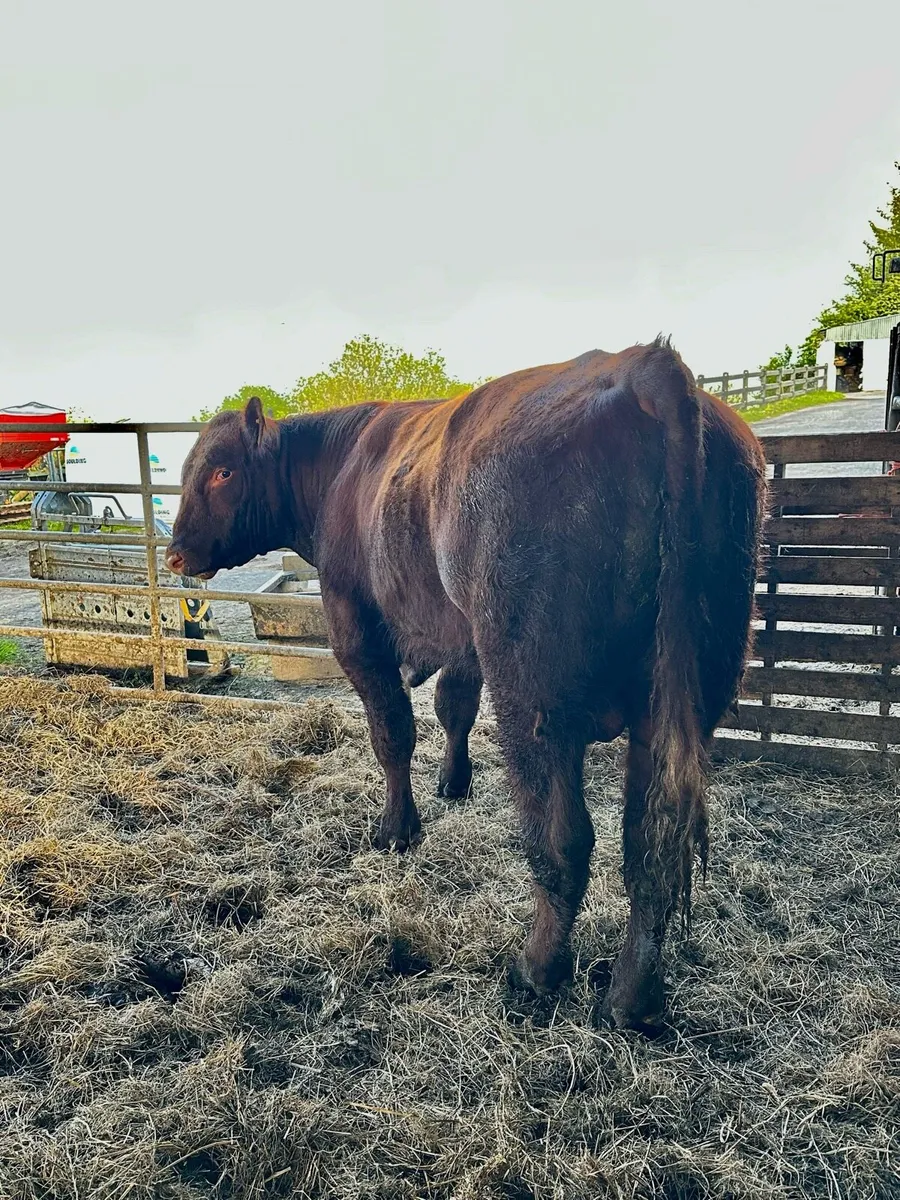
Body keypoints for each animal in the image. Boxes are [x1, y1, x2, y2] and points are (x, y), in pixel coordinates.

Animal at [166, 338, 766, 1031]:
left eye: (222, 472)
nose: (176, 553)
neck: (342, 469)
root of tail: (643, 364)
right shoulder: (462, 640)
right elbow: (454, 707)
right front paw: (453, 783)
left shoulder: (358, 633)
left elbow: (393, 735)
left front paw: (396, 831)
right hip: (680, 701)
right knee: (649, 845)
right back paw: (630, 999)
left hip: (534, 701)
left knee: (564, 839)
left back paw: (536, 971)